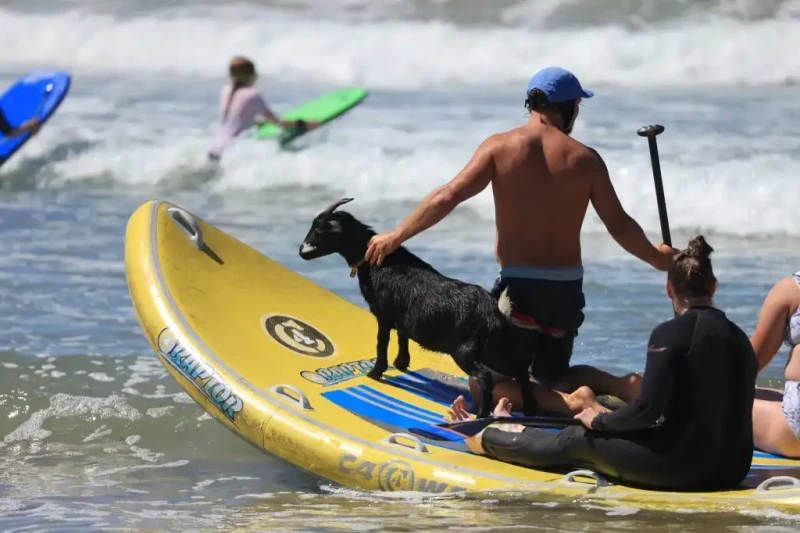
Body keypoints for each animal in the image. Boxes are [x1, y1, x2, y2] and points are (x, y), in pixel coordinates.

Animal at [296, 197, 536, 418]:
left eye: (319, 229)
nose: (301, 250)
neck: (377, 261)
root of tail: (495, 311)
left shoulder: (383, 314)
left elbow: (382, 343)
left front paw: (375, 372)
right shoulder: (401, 316)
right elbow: (402, 336)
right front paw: (401, 363)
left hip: (466, 351)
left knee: (485, 378)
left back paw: (480, 416)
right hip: (495, 349)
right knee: (521, 372)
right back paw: (529, 409)